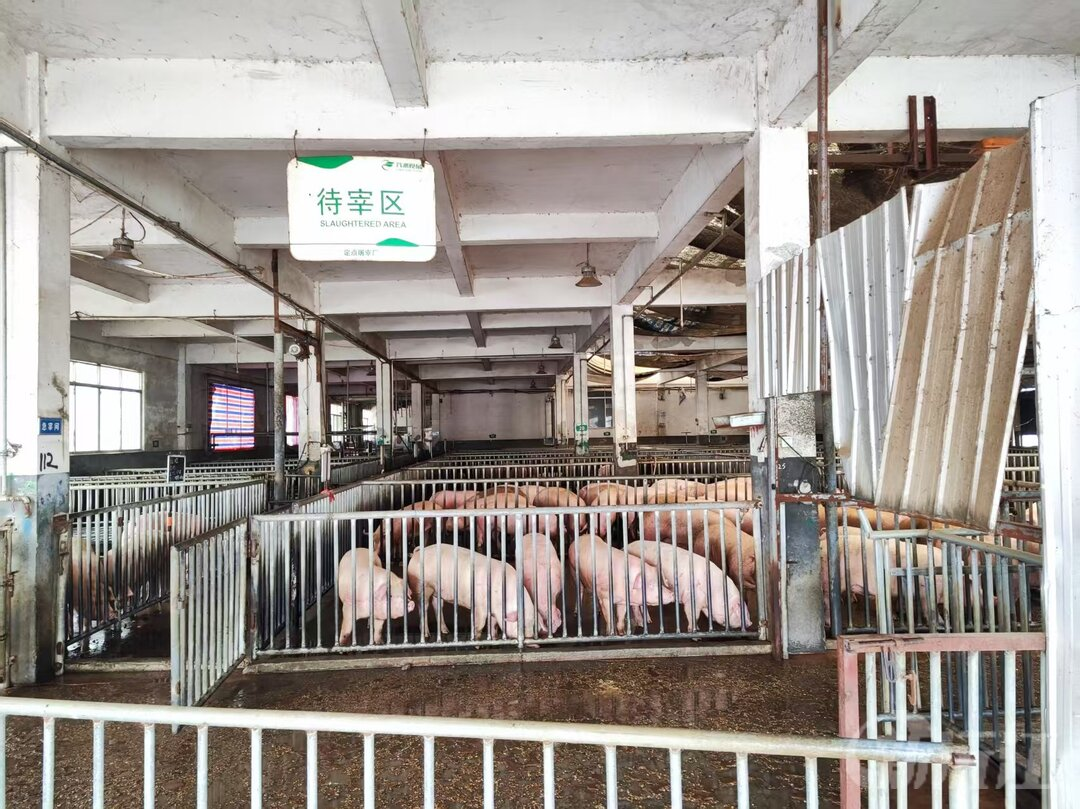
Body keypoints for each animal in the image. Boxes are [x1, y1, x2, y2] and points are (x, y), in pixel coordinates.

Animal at [407, 545, 542, 640]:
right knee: (423, 607)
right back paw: (426, 634)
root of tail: (417, 553)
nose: (530, 638)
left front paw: (494, 638)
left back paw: (446, 631)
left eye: (533, 625)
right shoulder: (480, 605)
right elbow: (480, 624)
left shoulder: (493, 611)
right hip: (422, 586)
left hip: (437, 591)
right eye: (522, 625)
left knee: (437, 606)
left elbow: (493, 626)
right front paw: (476, 642)